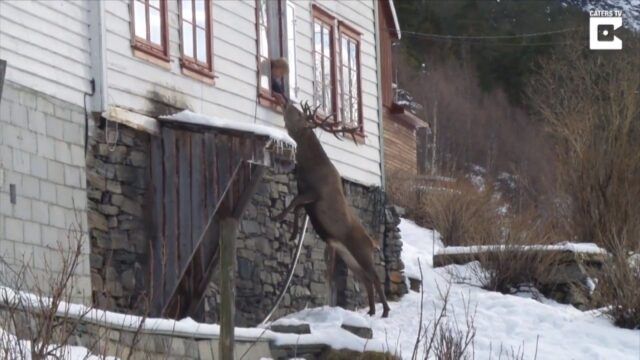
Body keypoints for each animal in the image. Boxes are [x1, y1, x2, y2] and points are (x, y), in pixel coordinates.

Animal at [270, 101, 390, 318]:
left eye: (299, 114)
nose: (286, 101)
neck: (309, 167)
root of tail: (373, 243)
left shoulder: (314, 194)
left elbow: (293, 203)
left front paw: (277, 217)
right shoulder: (306, 196)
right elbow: (296, 207)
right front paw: (292, 234)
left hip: (361, 252)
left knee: (375, 277)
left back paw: (384, 310)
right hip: (349, 257)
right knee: (365, 279)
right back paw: (370, 311)